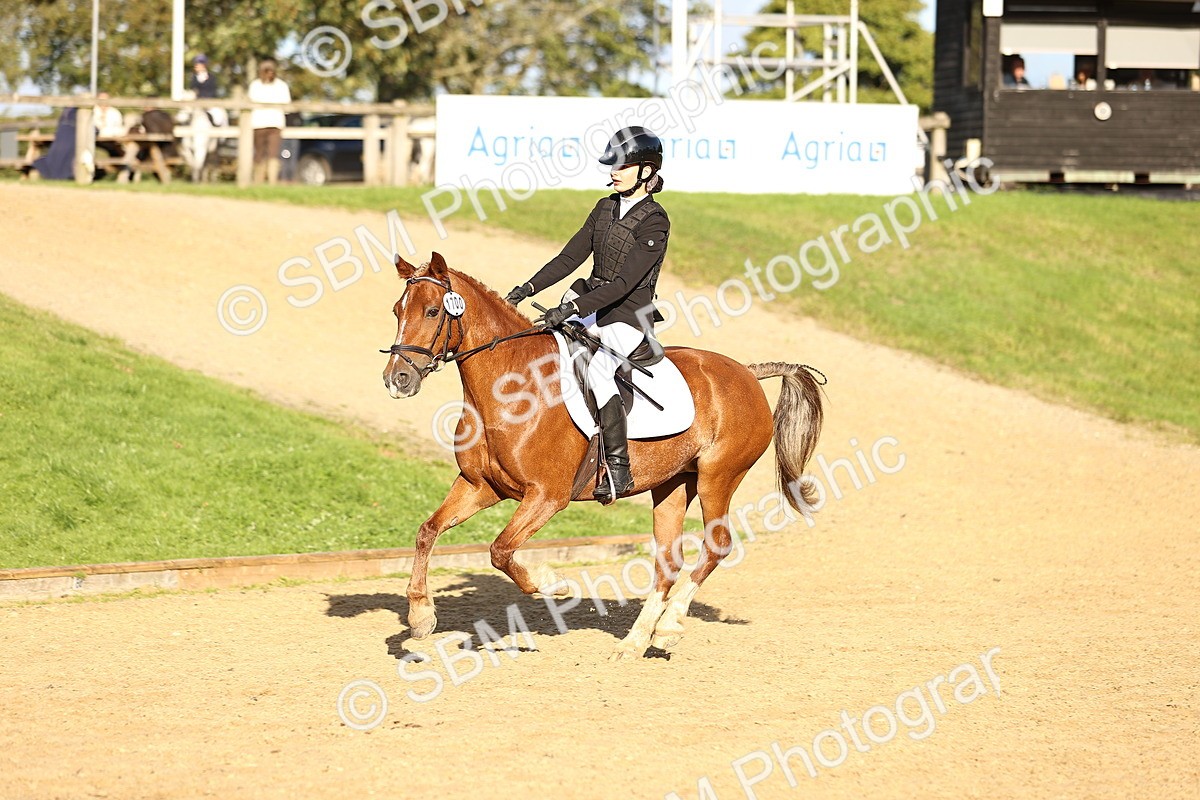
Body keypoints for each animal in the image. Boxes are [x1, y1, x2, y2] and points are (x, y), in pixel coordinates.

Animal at [382, 252, 825, 660]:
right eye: (397, 311)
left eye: (433, 311)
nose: (396, 380)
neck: (511, 388)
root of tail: (747, 372)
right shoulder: (481, 486)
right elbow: (428, 531)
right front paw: (420, 616)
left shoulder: (547, 496)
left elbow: (501, 550)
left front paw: (554, 583)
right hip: (674, 484)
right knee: (669, 560)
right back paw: (634, 643)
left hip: (718, 477)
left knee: (717, 545)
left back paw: (668, 627)